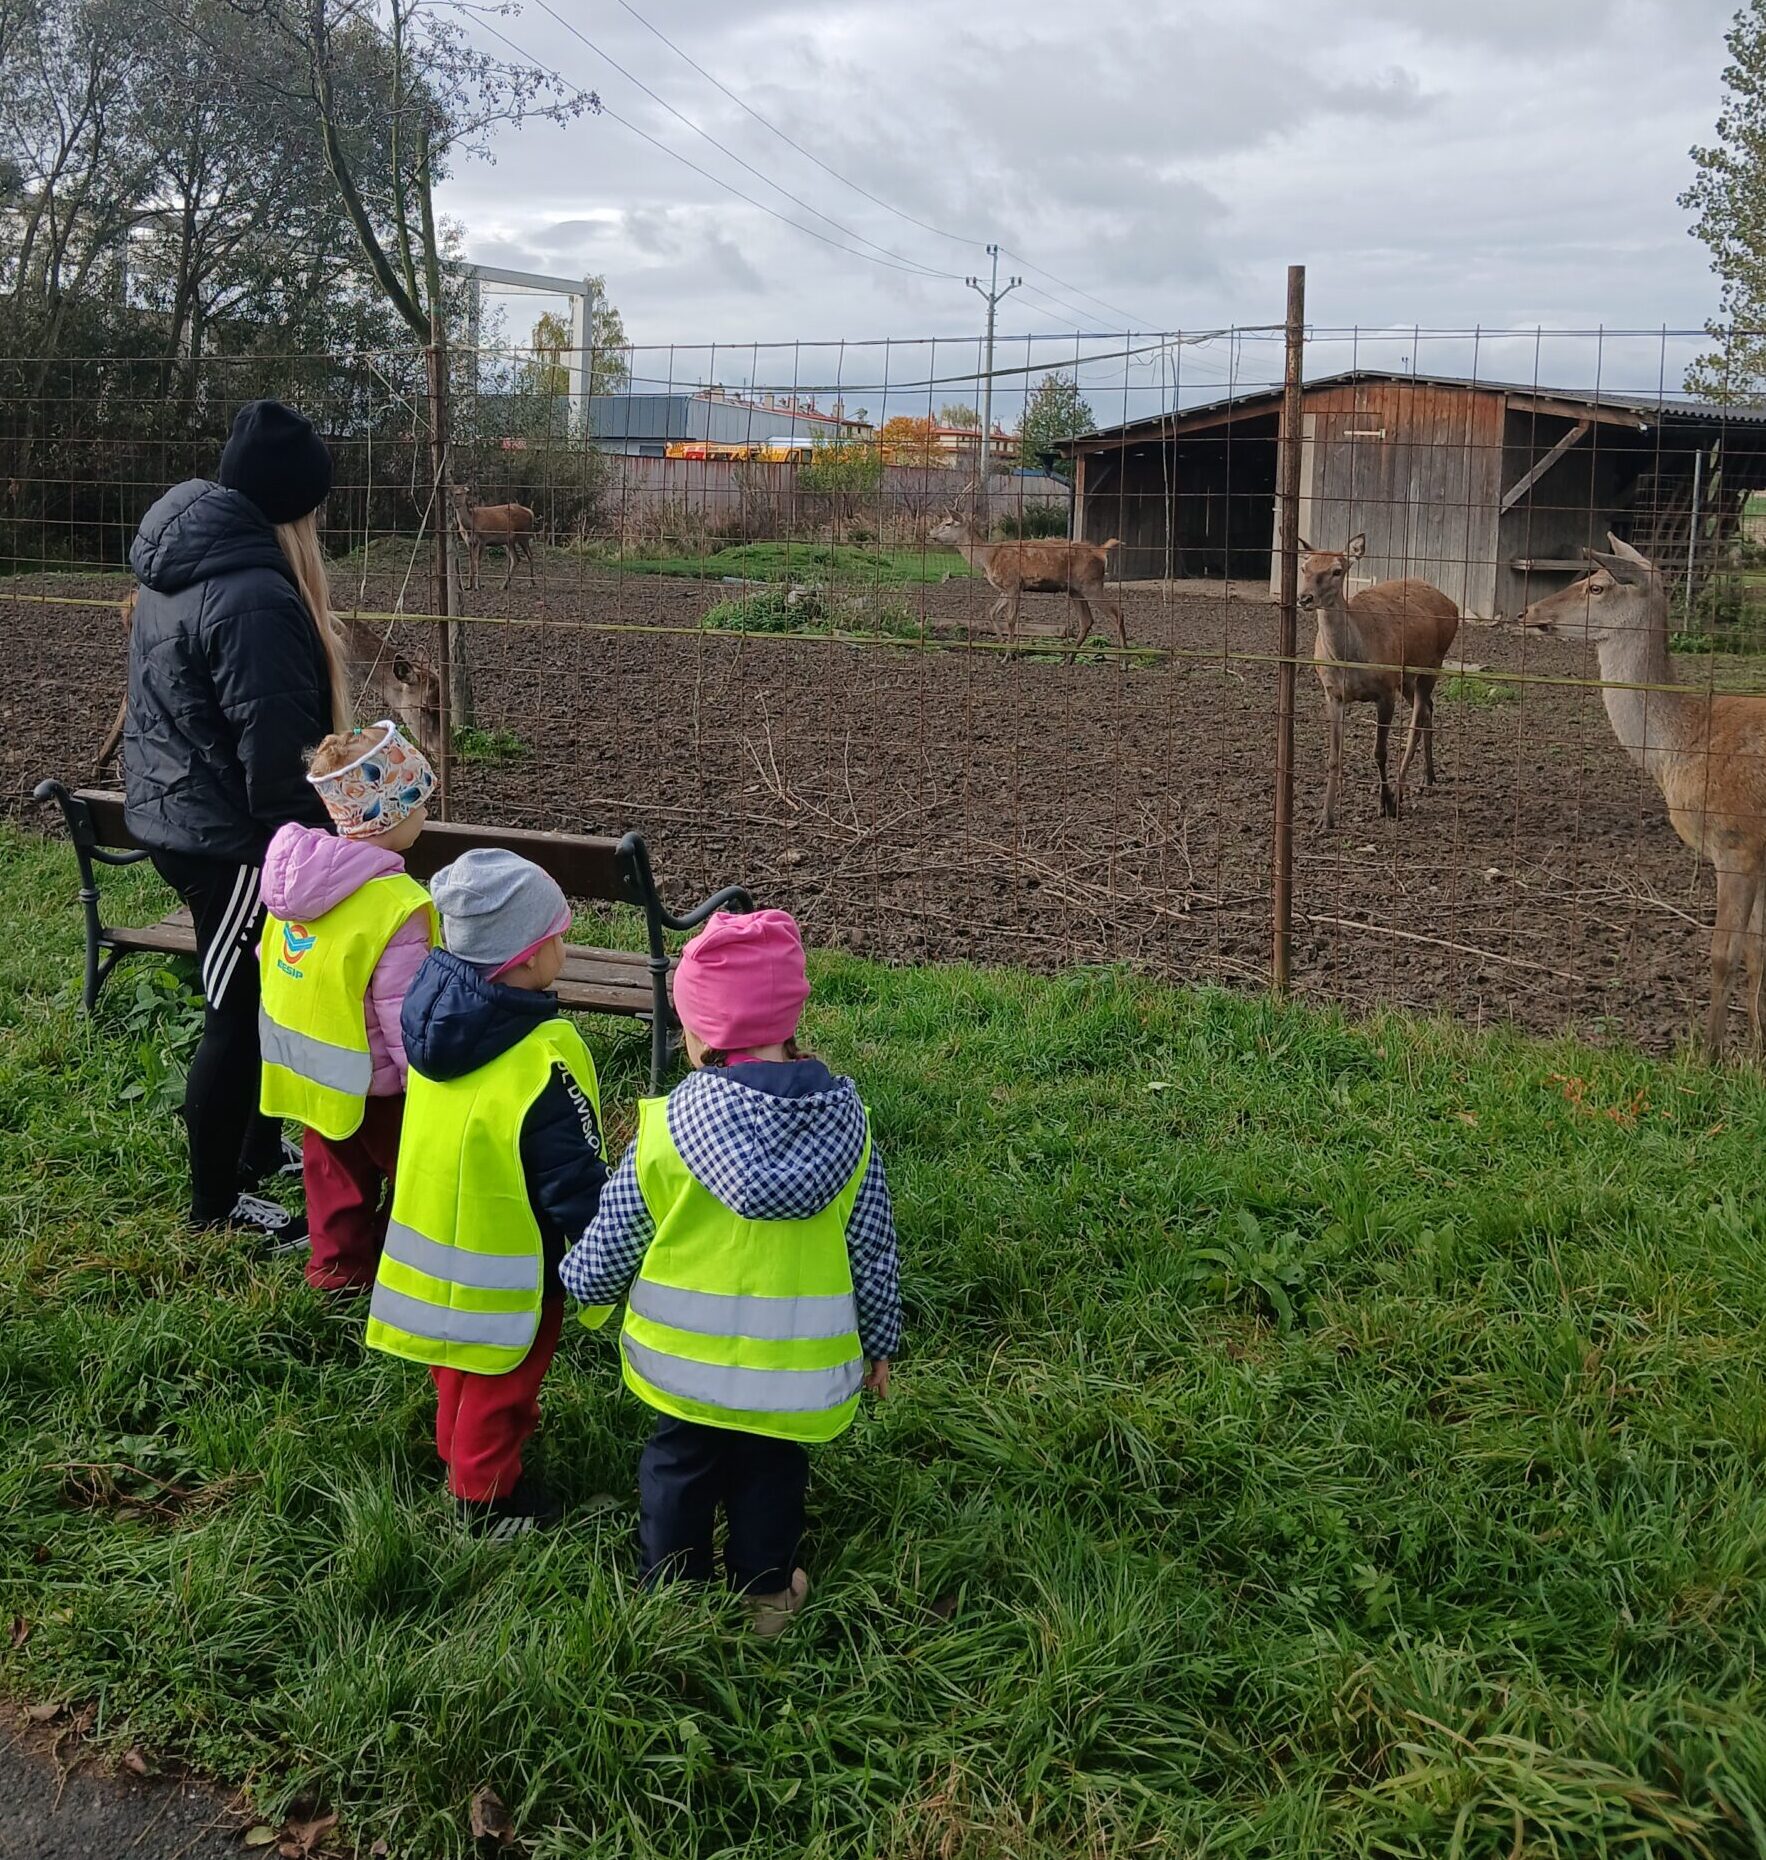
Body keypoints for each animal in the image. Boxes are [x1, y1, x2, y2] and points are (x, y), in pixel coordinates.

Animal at [930, 509, 1123, 654]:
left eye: (948, 523)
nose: (930, 533)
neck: (987, 559)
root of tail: (1101, 551)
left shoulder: (1013, 583)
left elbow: (1010, 618)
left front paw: (1010, 654)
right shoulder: (1004, 588)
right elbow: (991, 612)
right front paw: (1001, 643)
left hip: (1092, 584)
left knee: (1116, 613)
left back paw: (1124, 660)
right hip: (1075, 589)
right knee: (1087, 620)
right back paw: (1069, 658)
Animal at [1295, 539, 1458, 829]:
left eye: (1337, 570)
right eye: (1304, 567)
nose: (1305, 598)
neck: (1349, 661)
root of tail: (1453, 605)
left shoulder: (1385, 691)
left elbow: (1379, 752)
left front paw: (1386, 804)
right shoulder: (1332, 695)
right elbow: (1334, 757)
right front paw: (1325, 818)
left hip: (1432, 662)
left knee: (1417, 721)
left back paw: (1401, 793)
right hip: (1406, 676)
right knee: (1428, 708)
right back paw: (1427, 778)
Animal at [1511, 539, 1764, 1063]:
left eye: (1597, 586)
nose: (1527, 612)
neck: (1680, 746)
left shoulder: (1737, 841)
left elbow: (1724, 953)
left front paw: (1708, 1057)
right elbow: (1757, 953)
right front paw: (1757, 1053)